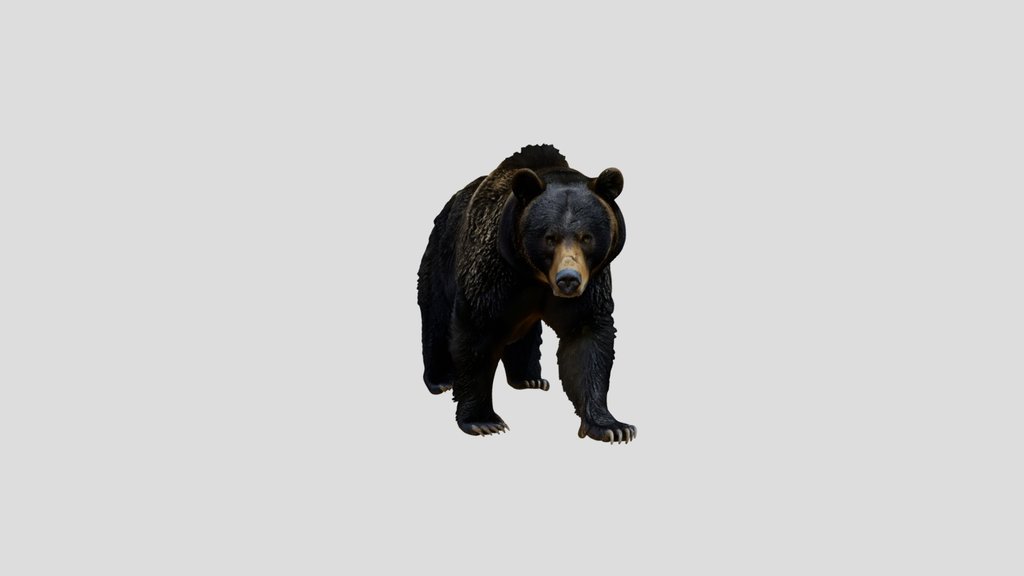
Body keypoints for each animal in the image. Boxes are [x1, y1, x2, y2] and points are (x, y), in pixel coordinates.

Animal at [417, 144, 636, 443]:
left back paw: (529, 378)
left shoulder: (590, 287)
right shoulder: (492, 273)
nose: (568, 279)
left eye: (586, 237)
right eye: (549, 237)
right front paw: (482, 421)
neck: (534, 275)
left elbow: (587, 340)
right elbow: (475, 332)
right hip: (441, 254)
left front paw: (612, 426)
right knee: (436, 315)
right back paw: (440, 379)